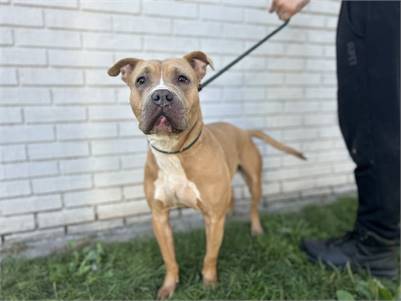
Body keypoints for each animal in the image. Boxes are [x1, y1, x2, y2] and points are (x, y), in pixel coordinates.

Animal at [108, 51, 304, 298]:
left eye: (182, 78)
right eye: (141, 81)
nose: (161, 96)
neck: (174, 151)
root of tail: (243, 131)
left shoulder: (212, 217)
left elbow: (210, 255)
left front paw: (209, 283)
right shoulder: (159, 217)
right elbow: (169, 258)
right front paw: (169, 286)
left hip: (254, 180)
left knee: (253, 207)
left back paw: (256, 229)